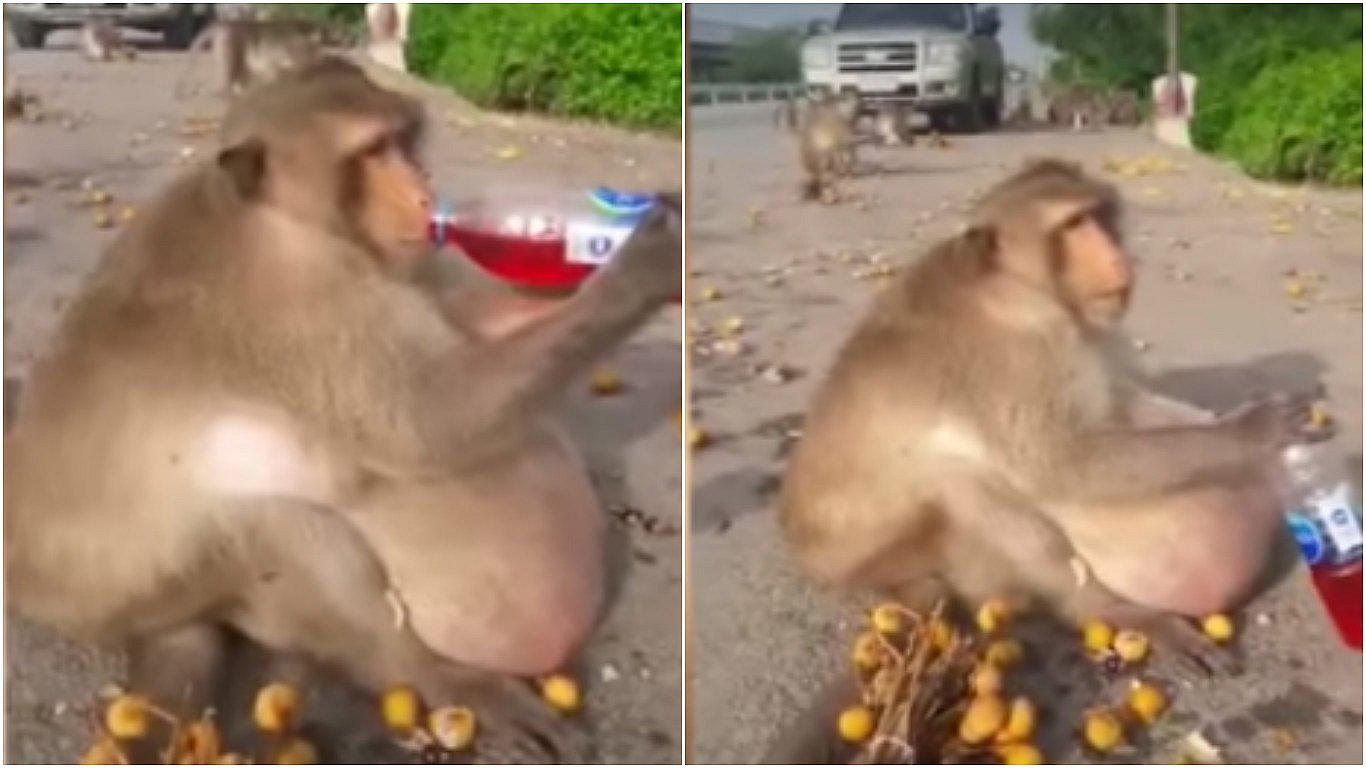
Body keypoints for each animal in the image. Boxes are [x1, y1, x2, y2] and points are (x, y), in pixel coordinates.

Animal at [4, 57, 680, 762]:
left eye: (403, 140)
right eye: (372, 151)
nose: (424, 189)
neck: (286, 218)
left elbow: (469, 316)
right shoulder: (295, 301)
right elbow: (433, 423)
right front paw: (642, 265)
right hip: (136, 587)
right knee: (265, 527)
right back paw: (435, 674)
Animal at [777, 159, 1326, 683]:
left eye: (1099, 216)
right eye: (1073, 224)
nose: (1119, 259)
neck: (1011, 283)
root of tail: (809, 558)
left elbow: (1119, 398)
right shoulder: (1019, 353)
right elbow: (1057, 465)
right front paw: (1252, 431)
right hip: (896, 559)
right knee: (963, 482)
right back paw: (1105, 609)